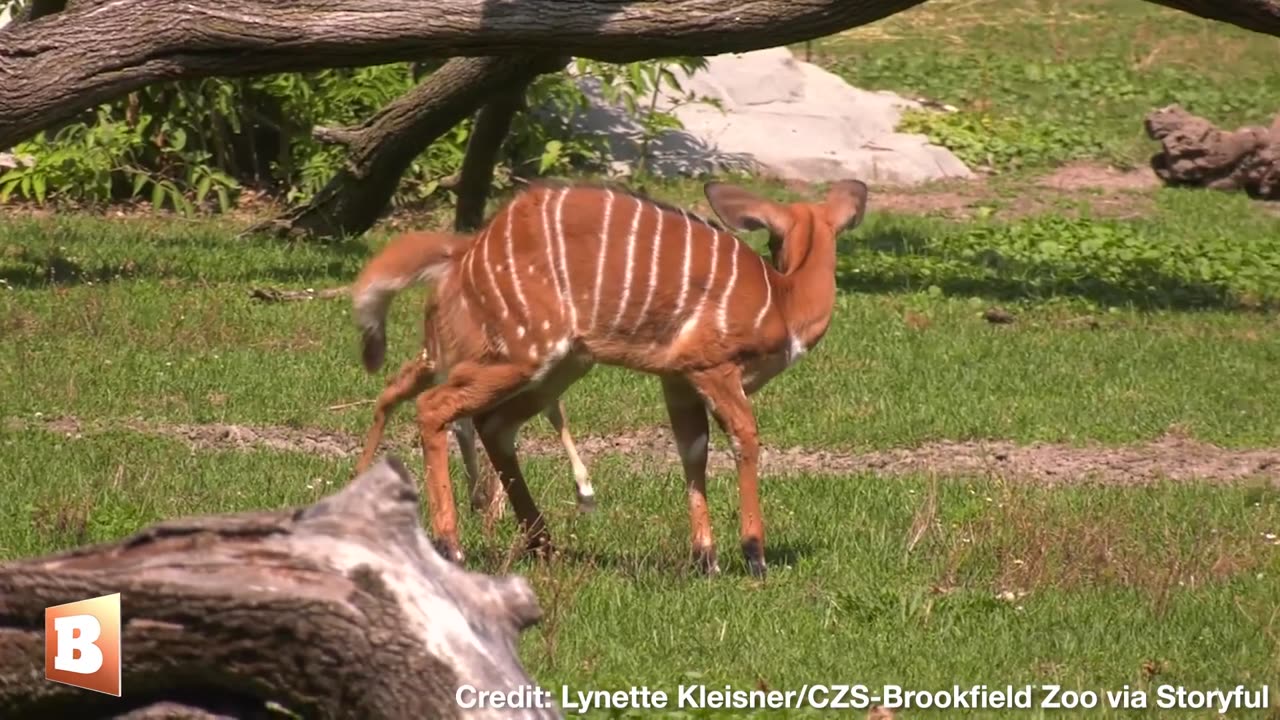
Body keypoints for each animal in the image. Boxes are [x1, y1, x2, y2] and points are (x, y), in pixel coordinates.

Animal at [350, 178, 870, 576]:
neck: (783, 302)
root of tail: (464, 253)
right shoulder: (712, 366)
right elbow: (744, 438)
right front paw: (753, 555)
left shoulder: (676, 378)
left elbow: (692, 451)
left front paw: (706, 559)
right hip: (522, 354)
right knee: (435, 408)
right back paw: (450, 545)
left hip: (557, 363)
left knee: (487, 422)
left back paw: (543, 544)